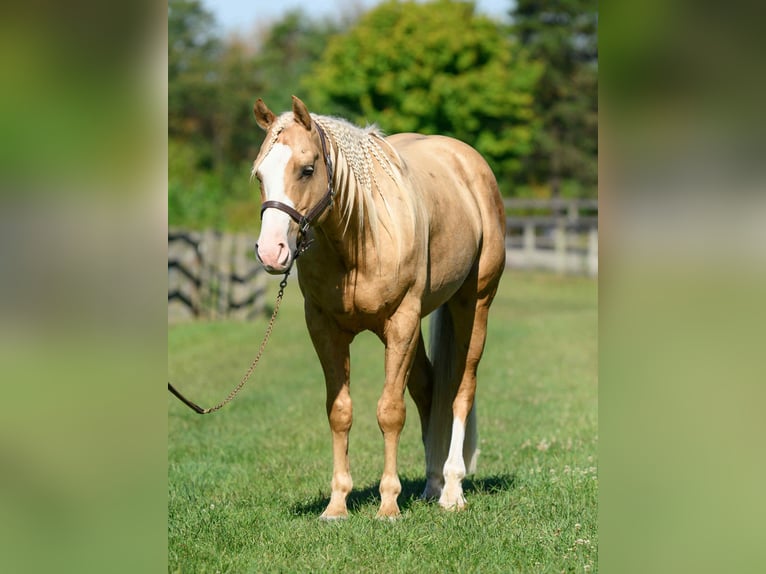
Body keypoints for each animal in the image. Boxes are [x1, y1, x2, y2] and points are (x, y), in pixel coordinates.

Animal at [252, 96, 506, 519]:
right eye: (259, 176)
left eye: (307, 170)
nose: (272, 252)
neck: (359, 238)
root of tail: (466, 160)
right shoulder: (324, 328)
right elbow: (340, 411)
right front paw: (336, 505)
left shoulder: (401, 321)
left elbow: (390, 411)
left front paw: (388, 505)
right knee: (428, 390)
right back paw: (432, 484)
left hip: (474, 305)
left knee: (461, 390)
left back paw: (452, 489)